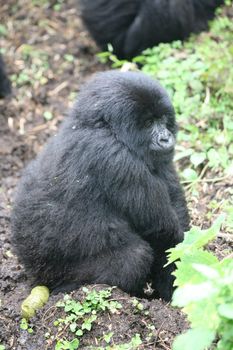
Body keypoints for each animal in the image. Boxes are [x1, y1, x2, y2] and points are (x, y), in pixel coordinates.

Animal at [11, 70, 189, 300]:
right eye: (149, 123)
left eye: (163, 119)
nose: (166, 138)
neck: (102, 127)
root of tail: (31, 268)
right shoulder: (115, 158)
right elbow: (162, 230)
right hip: (54, 272)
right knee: (135, 257)